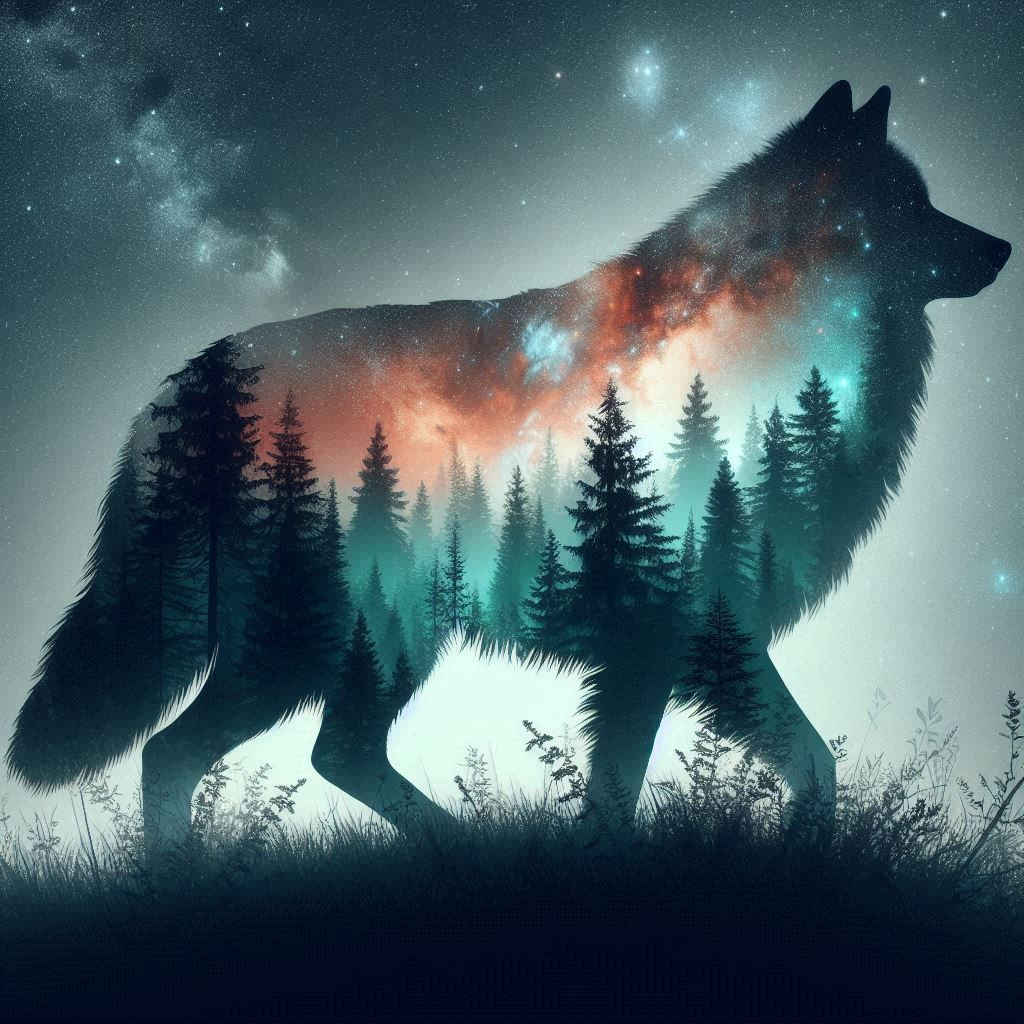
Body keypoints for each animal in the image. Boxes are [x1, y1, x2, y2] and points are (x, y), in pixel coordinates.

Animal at [6, 81, 1010, 849]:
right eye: (913, 207)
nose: (1004, 248)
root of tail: (181, 385)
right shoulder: (675, 640)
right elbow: (721, 780)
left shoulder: (685, 647)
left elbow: (782, 770)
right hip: (319, 640)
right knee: (186, 753)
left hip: (378, 641)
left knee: (325, 754)